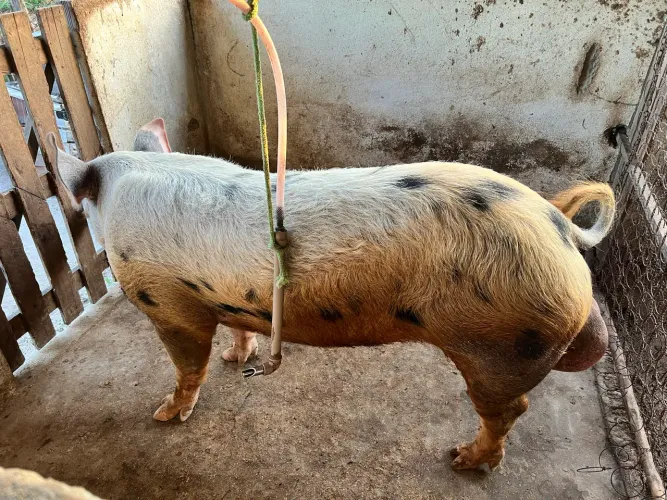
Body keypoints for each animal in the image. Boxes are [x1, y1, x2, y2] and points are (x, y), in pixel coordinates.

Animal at [44, 119, 615, 471]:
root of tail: (561, 227)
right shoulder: (226, 298)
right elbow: (238, 328)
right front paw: (235, 359)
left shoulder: (167, 303)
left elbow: (188, 367)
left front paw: (164, 415)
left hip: (504, 344)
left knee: (511, 409)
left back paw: (461, 460)